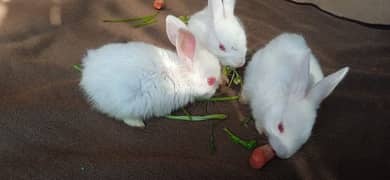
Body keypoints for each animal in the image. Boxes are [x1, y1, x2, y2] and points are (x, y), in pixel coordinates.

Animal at [79, 15, 221, 128]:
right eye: (210, 81)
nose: (215, 91)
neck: (183, 75)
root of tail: (88, 70)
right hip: (126, 103)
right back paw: (138, 124)